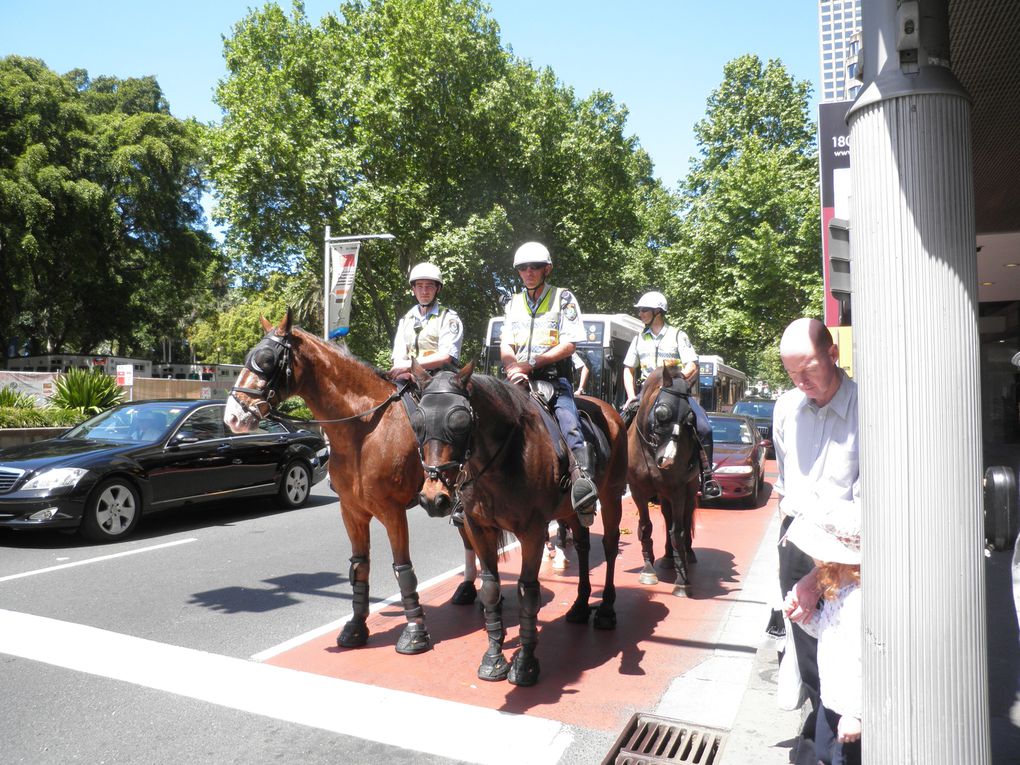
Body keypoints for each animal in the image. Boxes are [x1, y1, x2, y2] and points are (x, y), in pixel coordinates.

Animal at [223, 312, 477, 660]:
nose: (232, 417)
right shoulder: (352, 511)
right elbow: (360, 568)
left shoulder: (392, 511)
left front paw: (415, 631)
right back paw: (468, 588)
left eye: (266, 359)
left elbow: (403, 569)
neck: (363, 430)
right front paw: (356, 627)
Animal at [410, 365, 624, 689]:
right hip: (572, 512)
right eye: (418, 421)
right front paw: (493, 658)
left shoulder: (532, 532)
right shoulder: (479, 528)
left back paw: (607, 611)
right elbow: (490, 588)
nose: (433, 498)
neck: (504, 458)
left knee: (610, 547)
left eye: (459, 421)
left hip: (612, 497)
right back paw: (579, 605)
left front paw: (525, 664)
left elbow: (528, 593)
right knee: (584, 547)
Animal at [628, 365, 701, 599]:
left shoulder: (677, 490)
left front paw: (682, 581)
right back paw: (669, 557)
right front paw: (648, 569)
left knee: (683, 520)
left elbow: (678, 531)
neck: (651, 451)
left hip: (689, 491)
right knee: (668, 519)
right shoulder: (638, 491)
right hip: (662, 496)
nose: (668, 460)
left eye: (690, 418)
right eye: (662, 414)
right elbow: (645, 527)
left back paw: (687, 553)